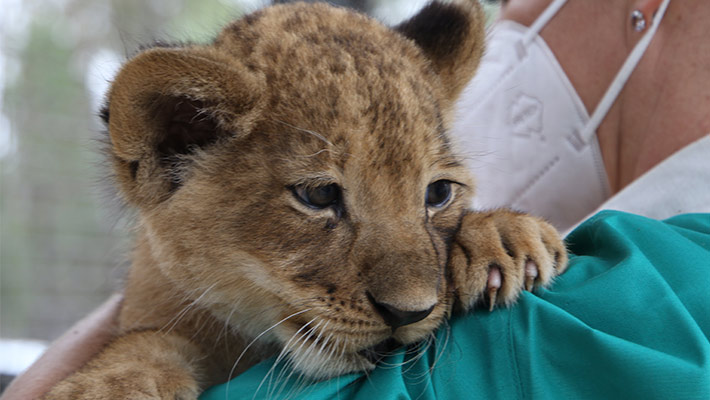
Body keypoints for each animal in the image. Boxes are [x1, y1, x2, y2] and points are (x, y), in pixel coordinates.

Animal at [45, 1, 568, 398]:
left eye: (437, 192)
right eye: (318, 195)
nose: (410, 313)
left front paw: (501, 236)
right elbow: (146, 341)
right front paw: (106, 387)